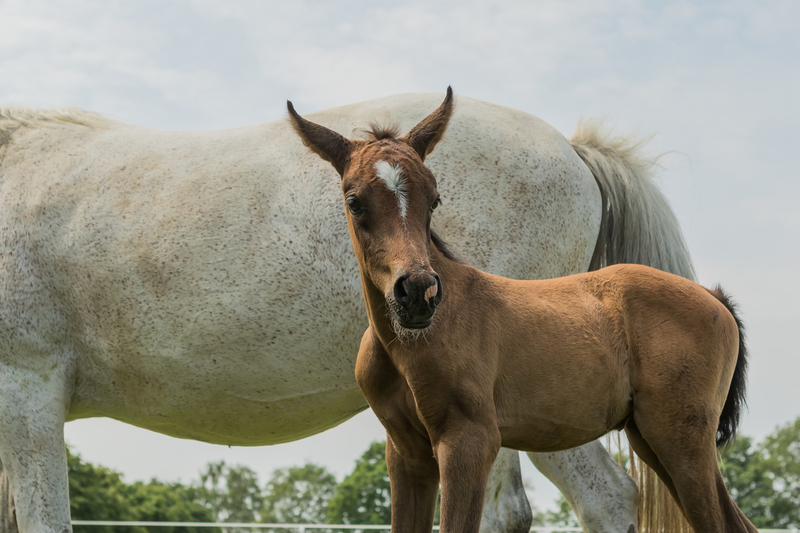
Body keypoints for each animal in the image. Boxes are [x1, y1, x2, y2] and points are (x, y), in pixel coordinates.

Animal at [287, 88, 756, 533]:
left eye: (434, 199)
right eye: (354, 201)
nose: (418, 292)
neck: (405, 346)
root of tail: (714, 298)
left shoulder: (469, 440)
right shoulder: (407, 455)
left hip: (682, 440)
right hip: (651, 437)